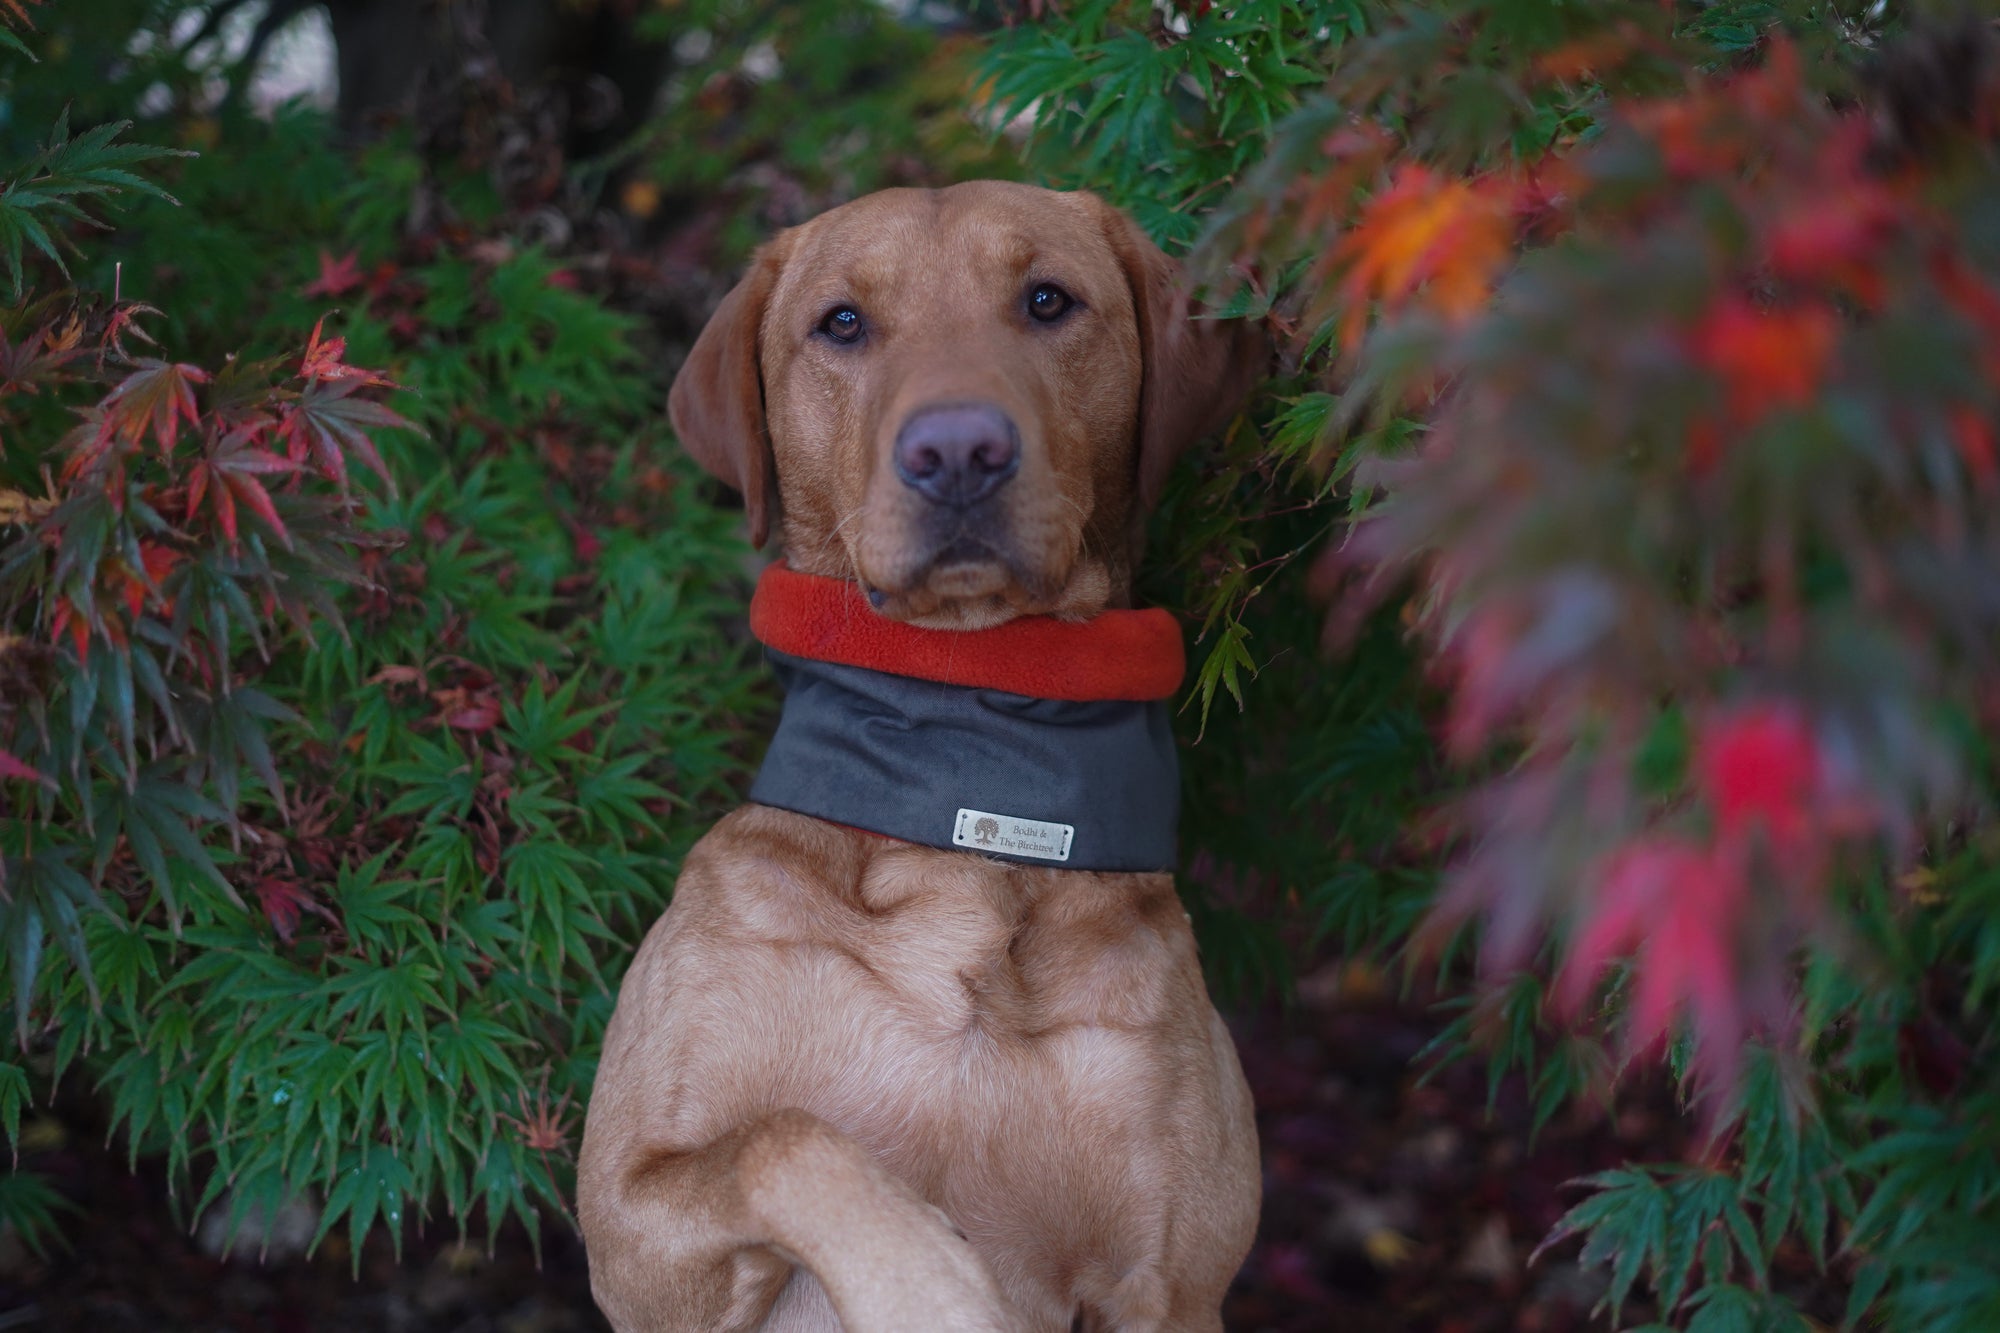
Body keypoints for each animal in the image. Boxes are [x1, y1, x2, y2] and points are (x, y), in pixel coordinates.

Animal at [580, 179, 1264, 1328]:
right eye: (842, 323)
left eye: (1047, 299)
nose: (956, 451)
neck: (969, 758)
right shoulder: (630, 1225)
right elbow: (784, 1136)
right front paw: (929, 1280)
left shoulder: (1173, 1281)